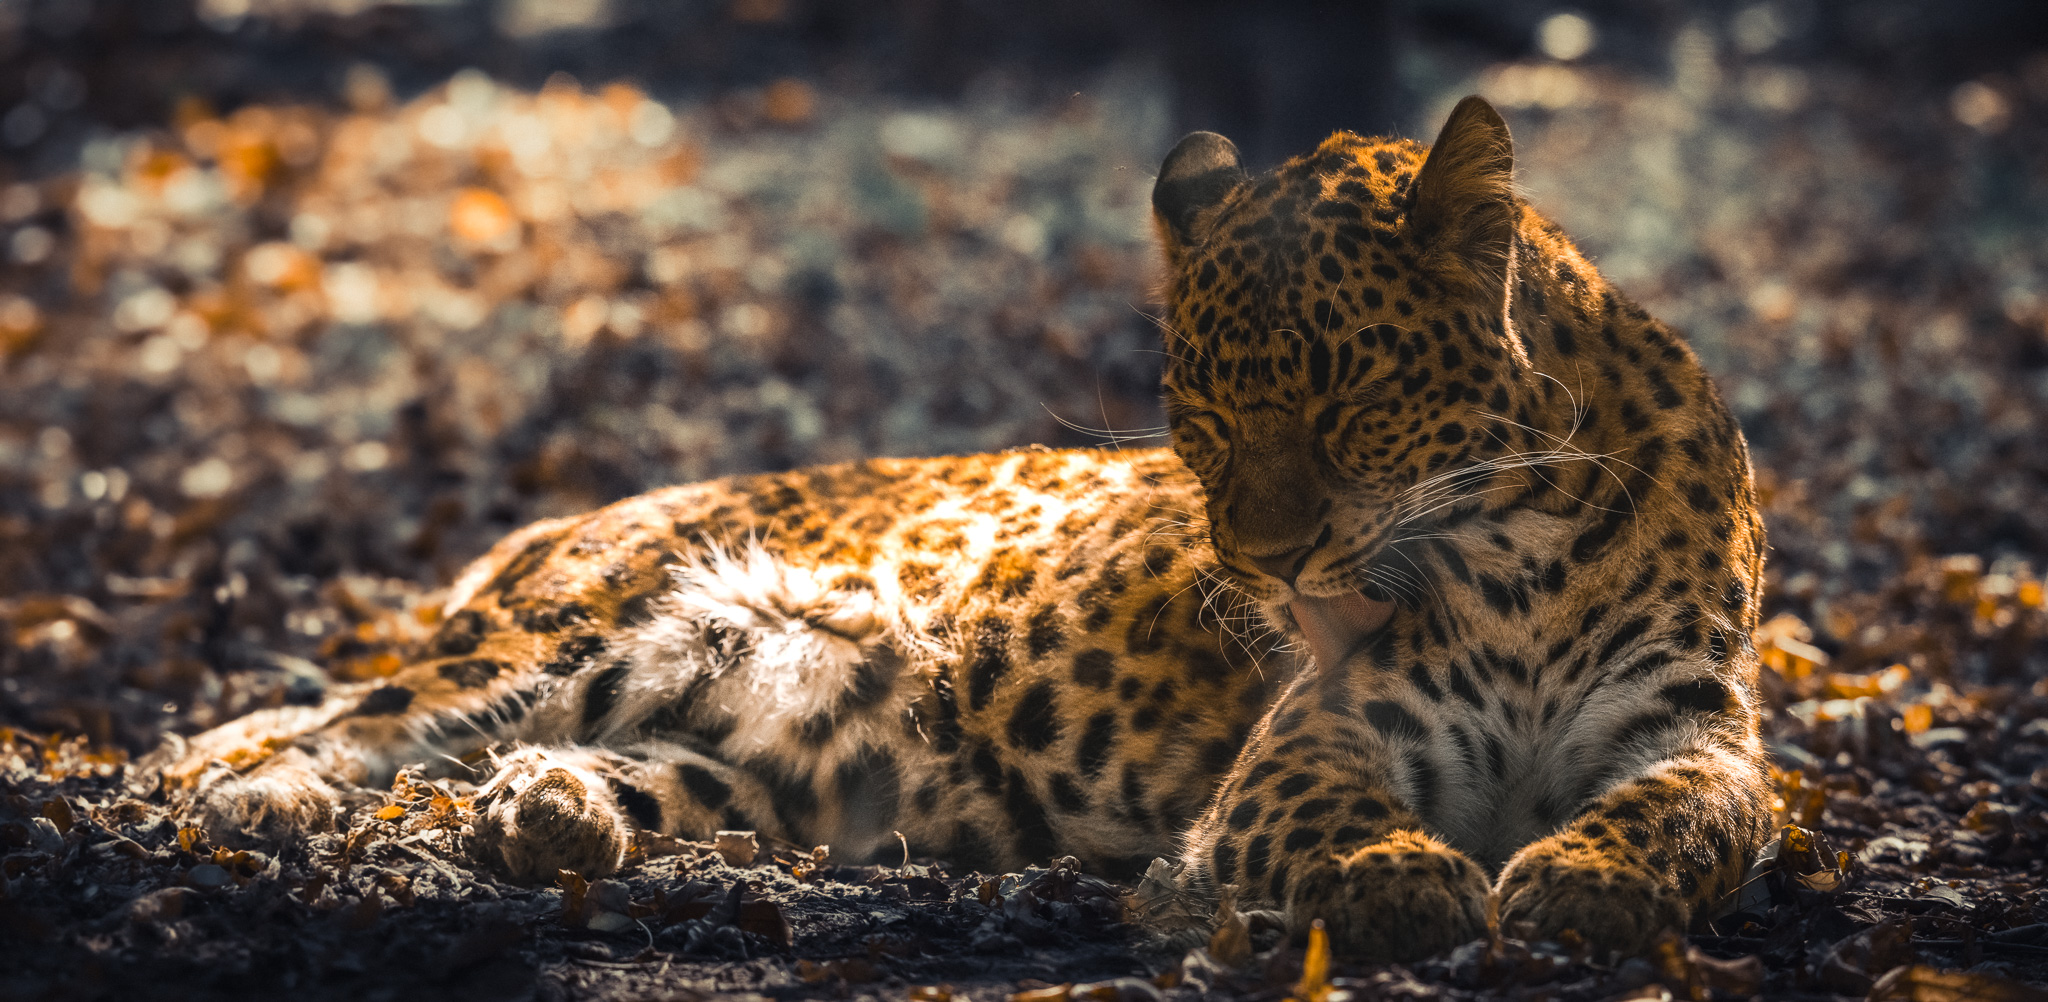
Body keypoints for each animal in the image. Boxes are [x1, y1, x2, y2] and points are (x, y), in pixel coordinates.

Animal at [137, 95, 1773, 963]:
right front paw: (1401, 877)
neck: (1528, 553)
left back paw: (550, 817)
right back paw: (256, 806)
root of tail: (569, 517)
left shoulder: (1694, 734)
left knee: (633, 773)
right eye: (1199, 406)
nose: (1259, 562)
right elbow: (1331, 815)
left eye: (1348, 393)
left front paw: (1586, 879)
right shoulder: (1314, 736)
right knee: (322, 722)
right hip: (570, 638)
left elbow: (1689, 817)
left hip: (799, 775)